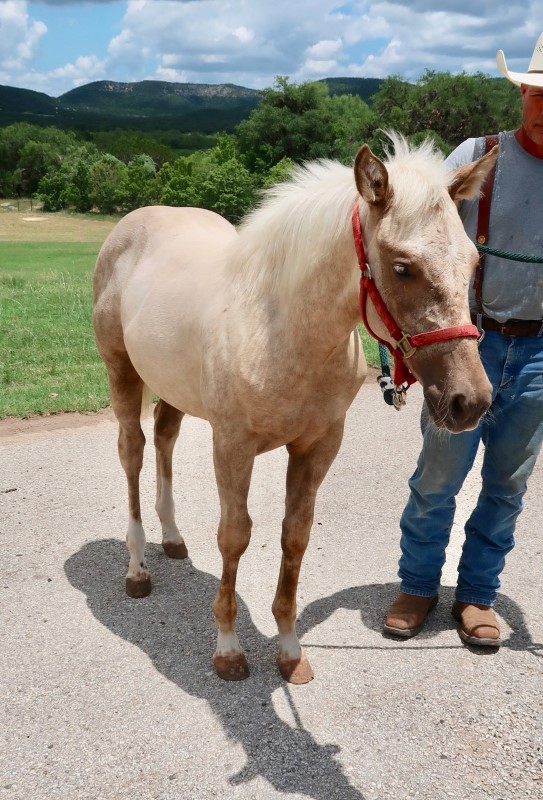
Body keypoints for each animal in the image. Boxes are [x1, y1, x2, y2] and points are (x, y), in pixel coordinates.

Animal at [92, 134, 498, 684]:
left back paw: (173, 539)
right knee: (131, 452)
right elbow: (234, 536)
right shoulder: (233, 445)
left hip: (171, 388)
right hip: (122, 372)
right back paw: (137, 569)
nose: (469, 401)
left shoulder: (318, 445)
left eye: (474, 265)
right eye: (401, 267)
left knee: (164, 438)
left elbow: (295, 538)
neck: (279, 328)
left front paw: (289, 651)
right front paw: (228, 649)